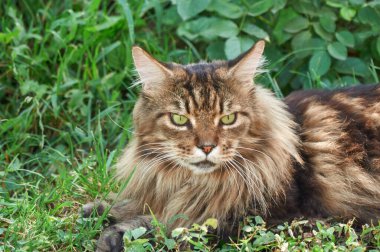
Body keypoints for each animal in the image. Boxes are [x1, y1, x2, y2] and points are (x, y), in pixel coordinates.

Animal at [83, 40, 380, 251]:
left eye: (228, 118)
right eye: (179, 119)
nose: (206, 147)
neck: (192, 183)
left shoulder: (271, 219)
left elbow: (172, 226)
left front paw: (112, 235)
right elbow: (129, 204)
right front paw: (98, 210)